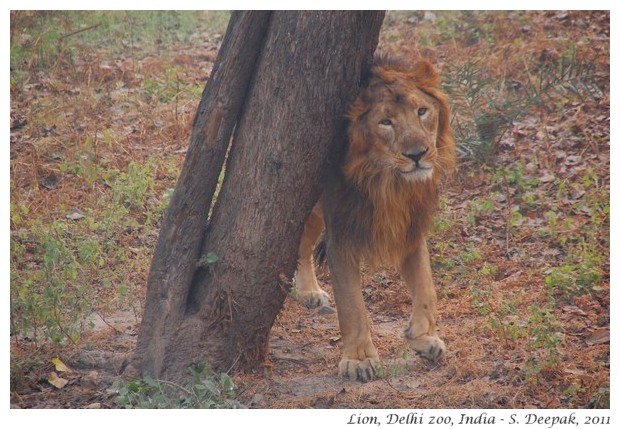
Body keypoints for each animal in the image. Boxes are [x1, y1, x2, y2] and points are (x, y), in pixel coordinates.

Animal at [294, 54, 458, 382]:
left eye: (422, 111)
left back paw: (309, 291)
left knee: (303, 246)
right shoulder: (341, 233)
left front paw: (423, 337)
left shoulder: (411, 227)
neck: (388, 182)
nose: (418, 154)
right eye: (386, 122)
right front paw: (358, 360)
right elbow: (352, 305)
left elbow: (427, 287)